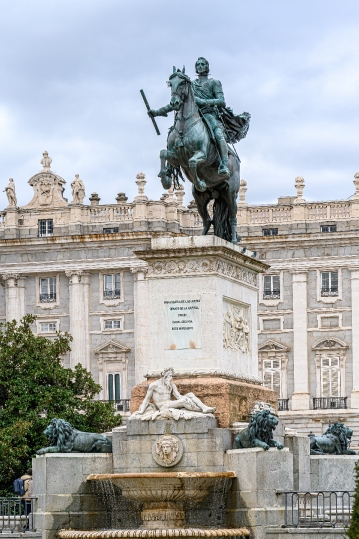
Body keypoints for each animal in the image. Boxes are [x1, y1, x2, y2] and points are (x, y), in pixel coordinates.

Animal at [158, 67, 242, 245]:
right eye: (170, 83)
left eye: (183, 82)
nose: (174, 103)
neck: (184, 126)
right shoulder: (175, 156)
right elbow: (163, 153)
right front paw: (165, 178)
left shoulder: (202, 155)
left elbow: (192, 162)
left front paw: (201, 181)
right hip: (200, 197)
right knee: (207, 220)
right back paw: (201, 238)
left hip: (231, 193)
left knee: (232, 218)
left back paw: (233, 240)